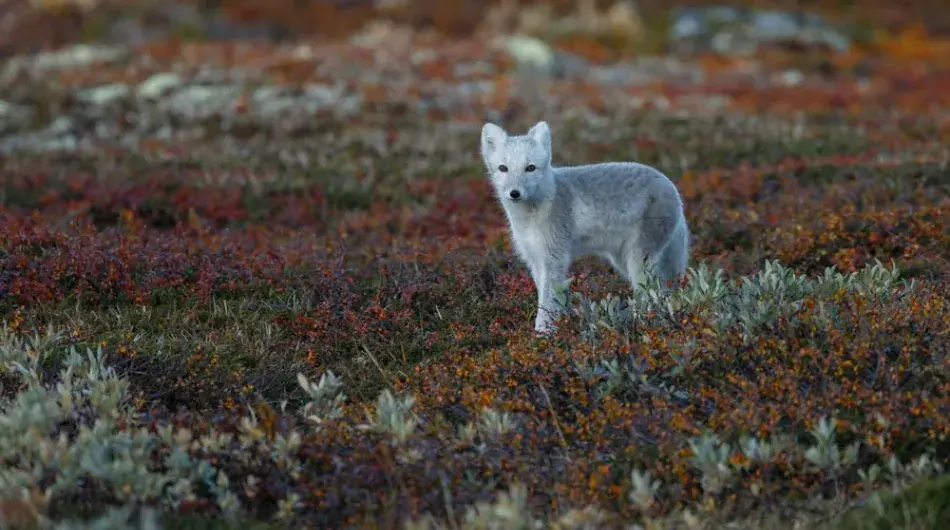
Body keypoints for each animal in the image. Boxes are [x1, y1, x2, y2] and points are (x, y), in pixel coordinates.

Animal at [480, 120, 690, 333]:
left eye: (530, 168)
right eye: (503, 168)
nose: (514, 193)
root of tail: (671, 185)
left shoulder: (554, 257)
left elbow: (546, 301)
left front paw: (542, 333)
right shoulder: (534, 257)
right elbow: (549, 296)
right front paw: (560, 324)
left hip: (638, 260)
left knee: (651, 295)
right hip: (623, 260)